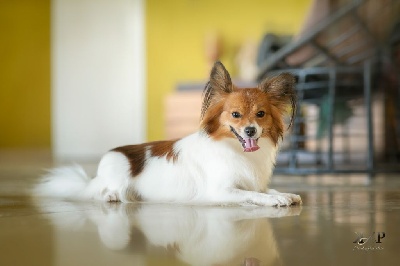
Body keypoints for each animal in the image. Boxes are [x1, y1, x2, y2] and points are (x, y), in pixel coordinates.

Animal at [36, 61, 302, 207]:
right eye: (235, 115)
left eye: (260, 114)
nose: (250, 130)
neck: (237, 150)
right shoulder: (220, 190)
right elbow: (253, 195)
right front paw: (274, 200)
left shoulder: (252, 182)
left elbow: (266, 190)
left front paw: (285, 194)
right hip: (116, 170)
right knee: (101, 192)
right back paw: (111, 195)